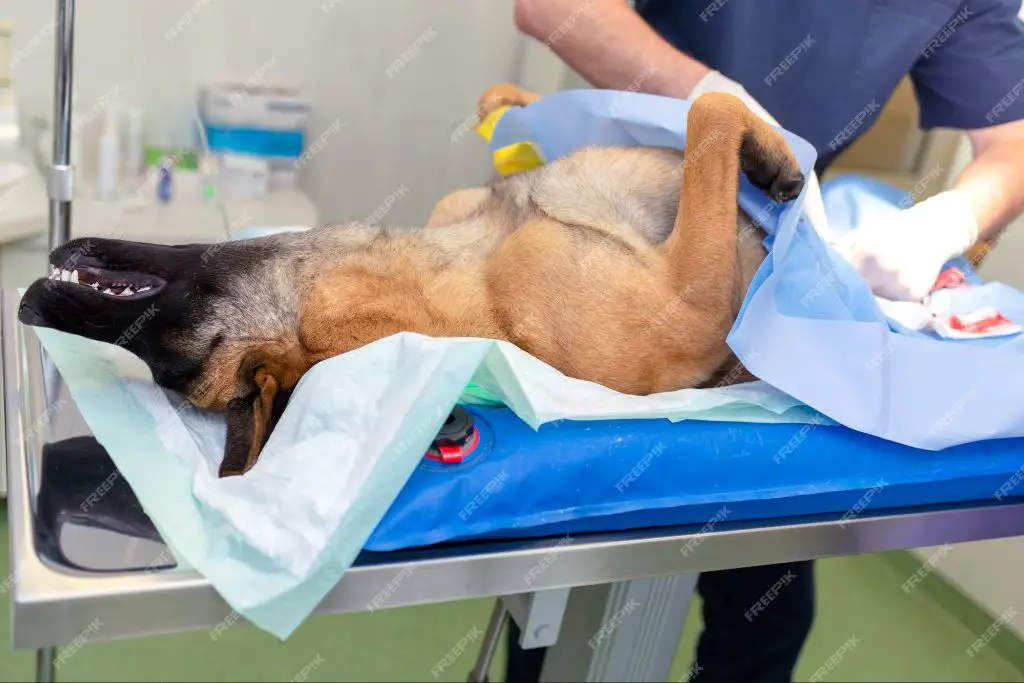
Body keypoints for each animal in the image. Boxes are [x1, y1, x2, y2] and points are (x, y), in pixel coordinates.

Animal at [12, 85, 802, 479]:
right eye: (171, 362)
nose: (28, 302)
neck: (470, 265)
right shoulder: (693, 302)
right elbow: (708, 110)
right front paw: (773, 159)